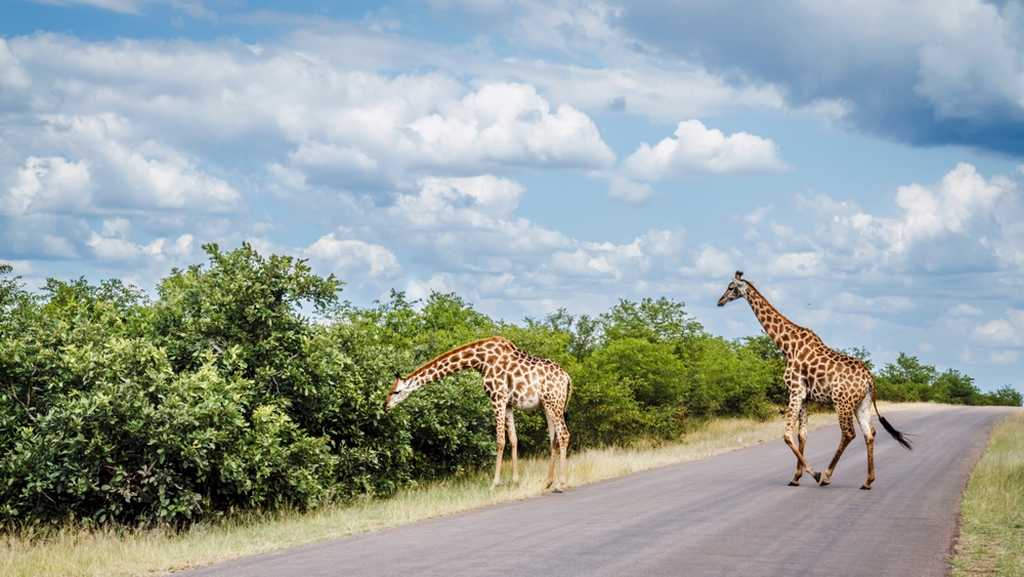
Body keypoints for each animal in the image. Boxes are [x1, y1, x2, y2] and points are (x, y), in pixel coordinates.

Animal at [385, 336, 573, 492]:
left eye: (396, 391)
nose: (385, 405)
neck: (480, 361)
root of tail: (567, 378)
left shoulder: (497, 398)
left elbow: (500, 441)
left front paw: (494, 484)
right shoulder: (508, 403)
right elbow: (513, 439)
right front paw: (515, 481)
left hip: (554, 403)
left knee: (563, 434)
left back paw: (561, 484)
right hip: (547, 405)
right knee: (553, 438)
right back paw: (547, 482)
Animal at [717, 271, 911, 489]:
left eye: (731, 287)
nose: (720, 301)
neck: (787, 346)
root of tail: (869, 379)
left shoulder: (795, 391)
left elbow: (787, 435)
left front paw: (813, 474)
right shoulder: (805, 397)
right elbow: (802, 434)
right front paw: (796, 477)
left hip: (842, 402)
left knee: (849, 433)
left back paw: (826, 475)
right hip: (862, 403)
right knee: (869, 433)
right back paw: (867, 481)